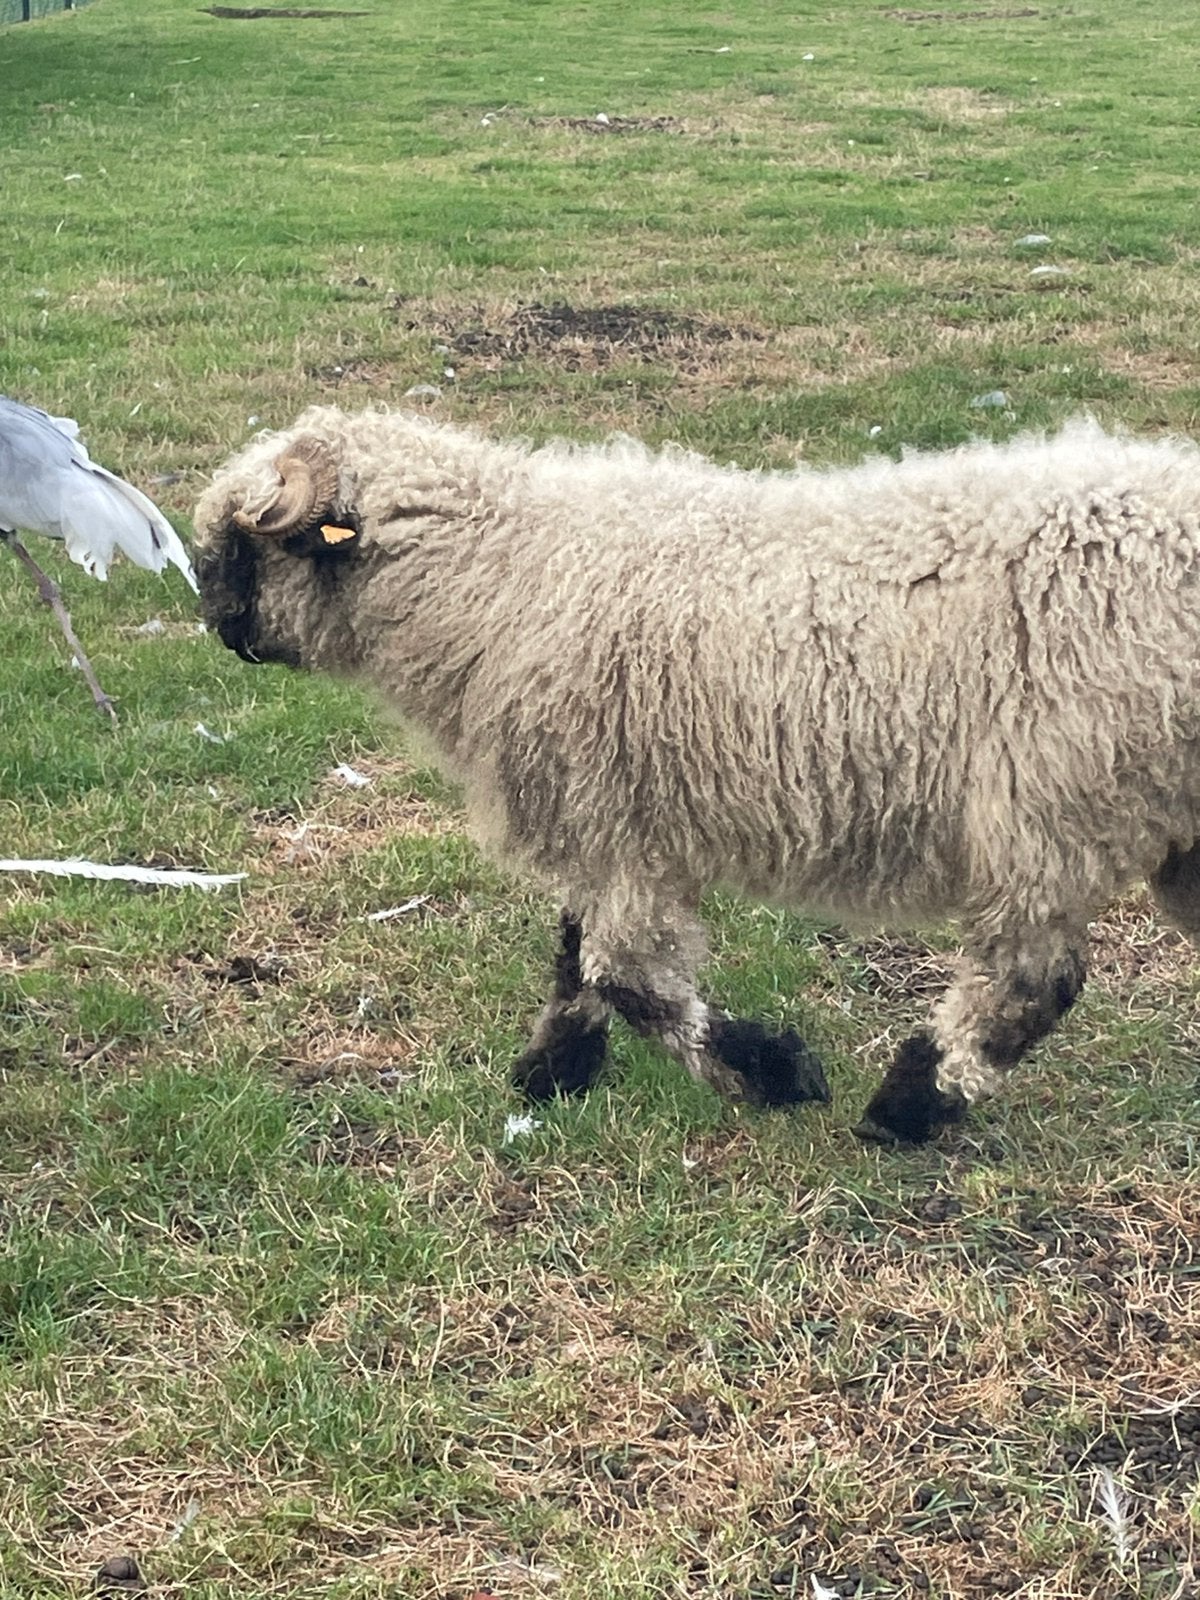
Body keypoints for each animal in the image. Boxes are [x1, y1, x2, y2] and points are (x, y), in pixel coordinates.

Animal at [193, 405, 1200, 1143]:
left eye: (247, 548)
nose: (219, 630)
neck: (501, 577)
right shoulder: (600, 820)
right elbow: (576, 956)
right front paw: (551, 1072)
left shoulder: (619, 816)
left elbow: (625, 973)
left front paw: (775, 1072)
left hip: (1053, 796)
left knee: (1031, 982)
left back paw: (910, 1106)